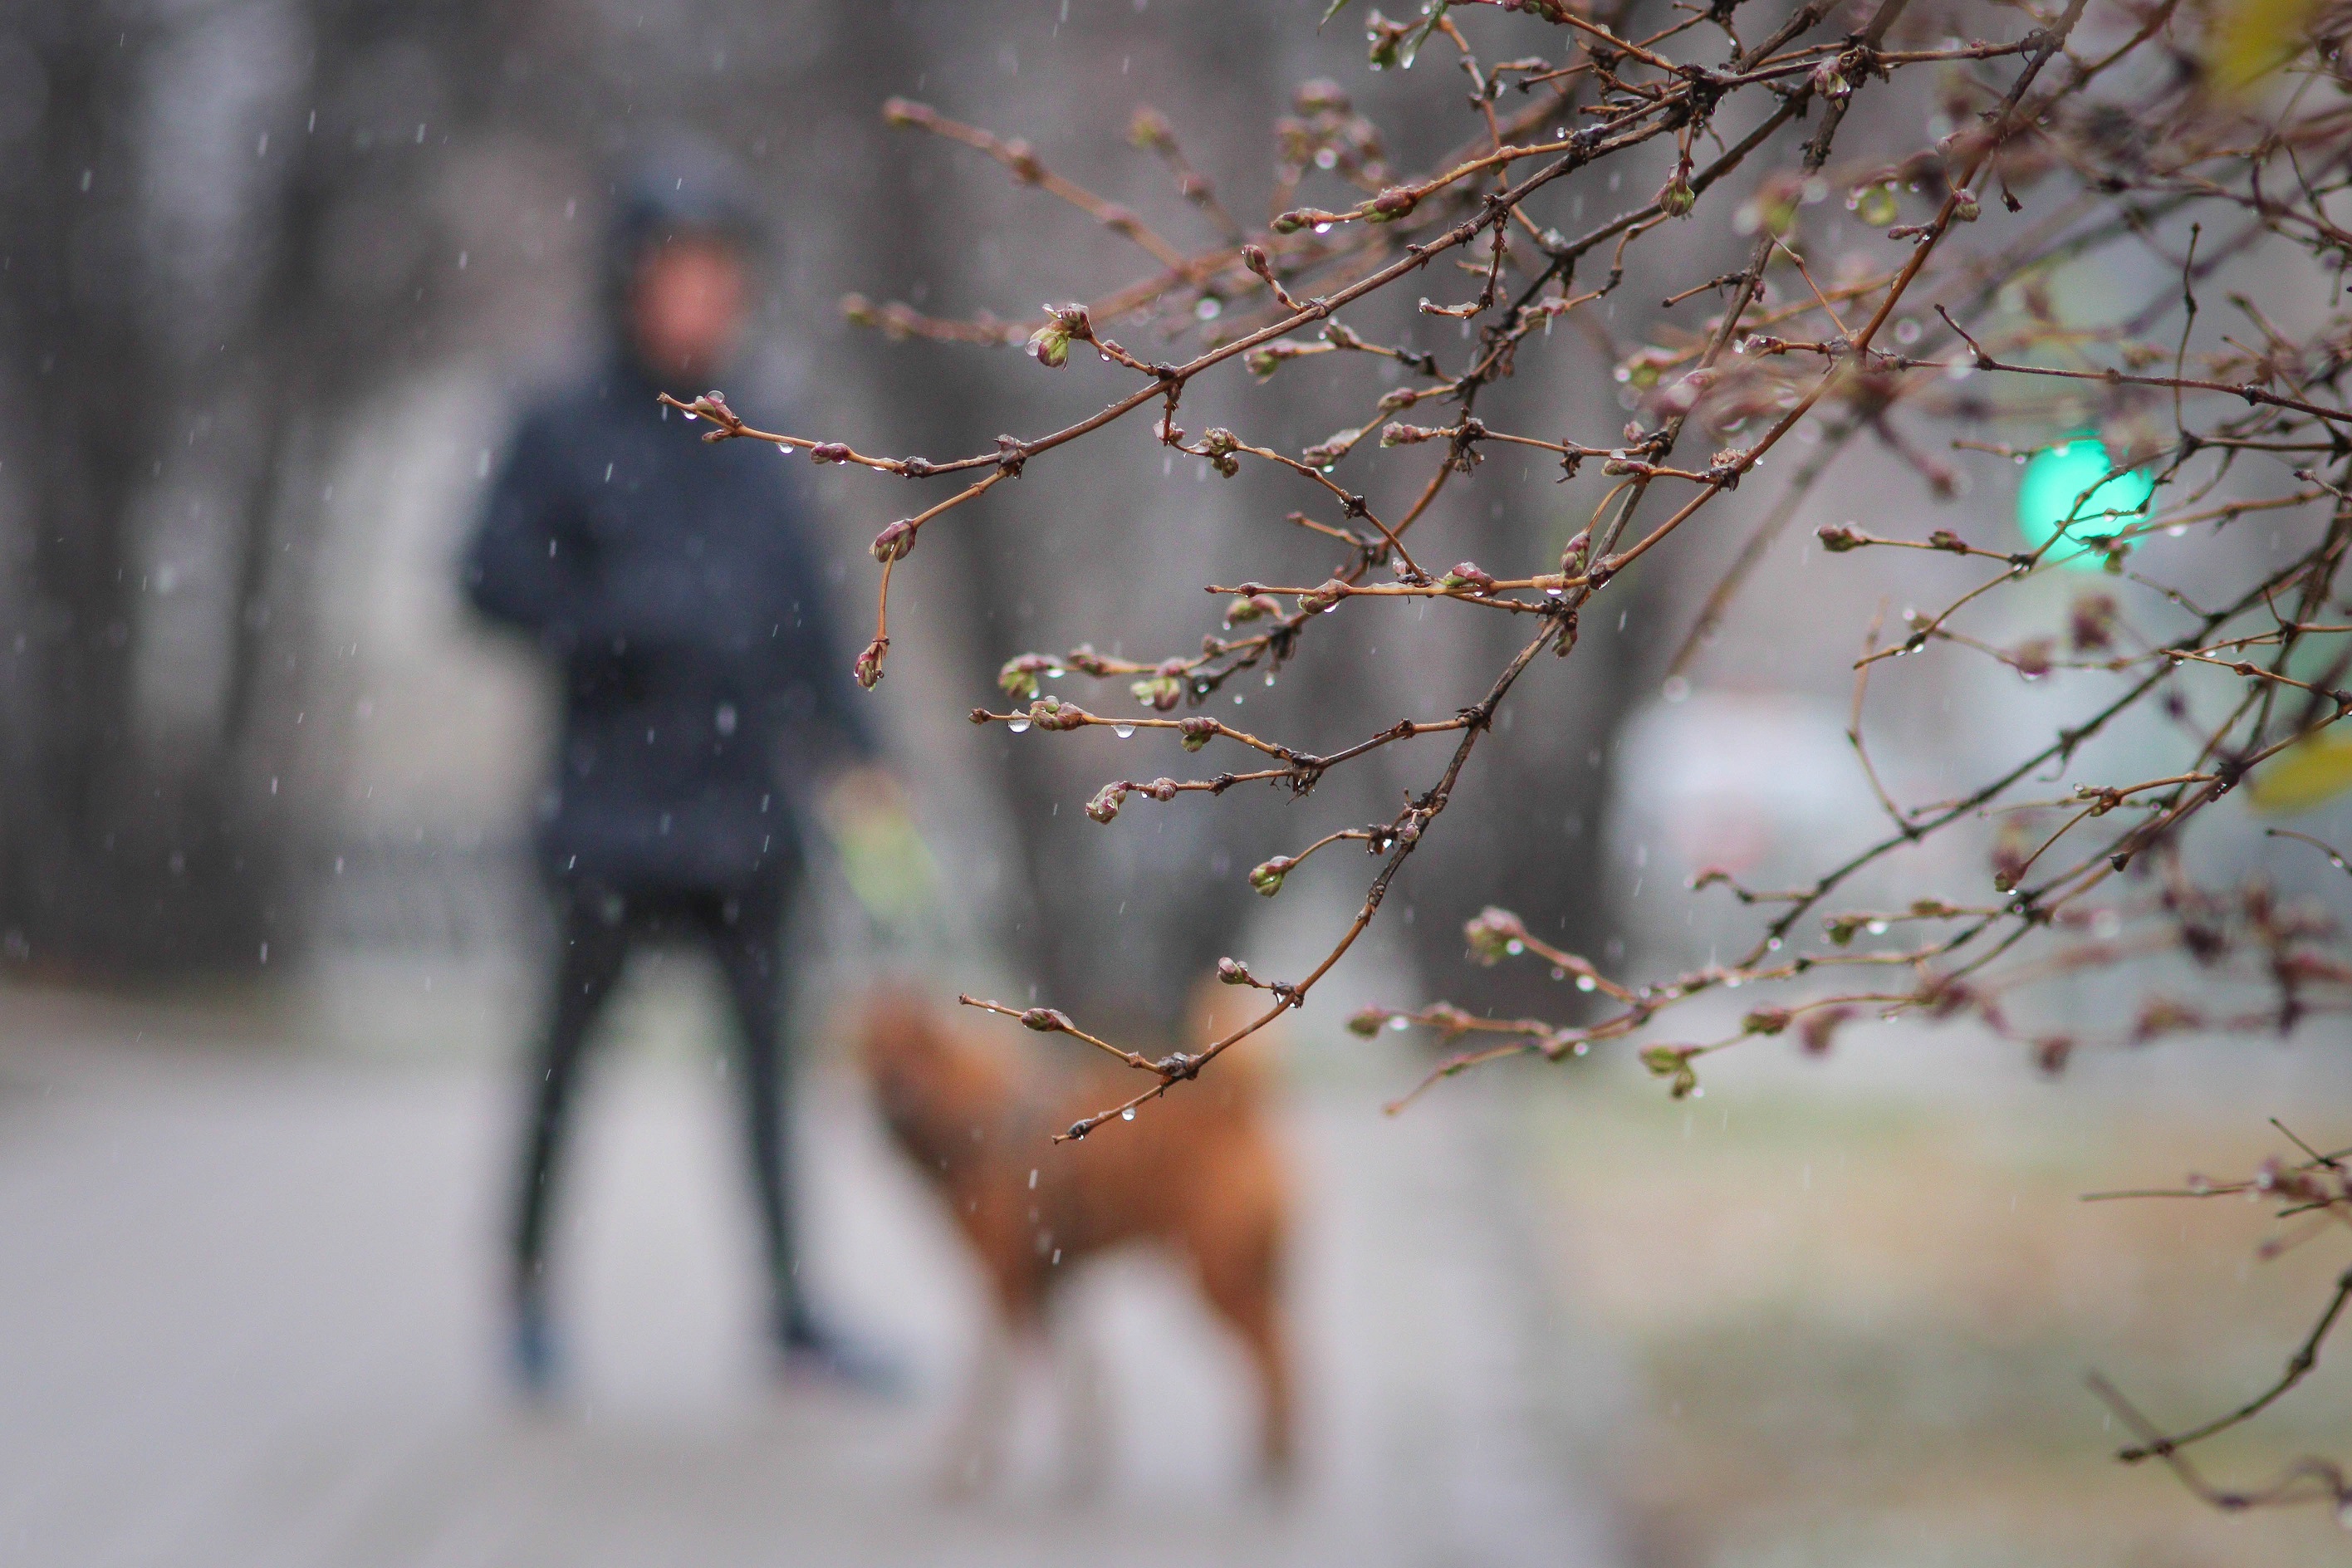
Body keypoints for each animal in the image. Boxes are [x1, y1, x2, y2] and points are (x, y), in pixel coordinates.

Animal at [865, 982, 1298, 1495]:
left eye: (920, 1049)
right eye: (870, 1050)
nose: (895, 1100)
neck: (973, 1118)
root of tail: (1241, 1109)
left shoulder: (1007, 1280)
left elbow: (991, 1381)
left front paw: (969, 1463)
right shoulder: (1047, 1282)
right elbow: (1078, 1376)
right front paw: (1085, 1458)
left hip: (1221, 1276)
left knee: (1274, 1359)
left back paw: (1274, 1458)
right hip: (1253, 1274)